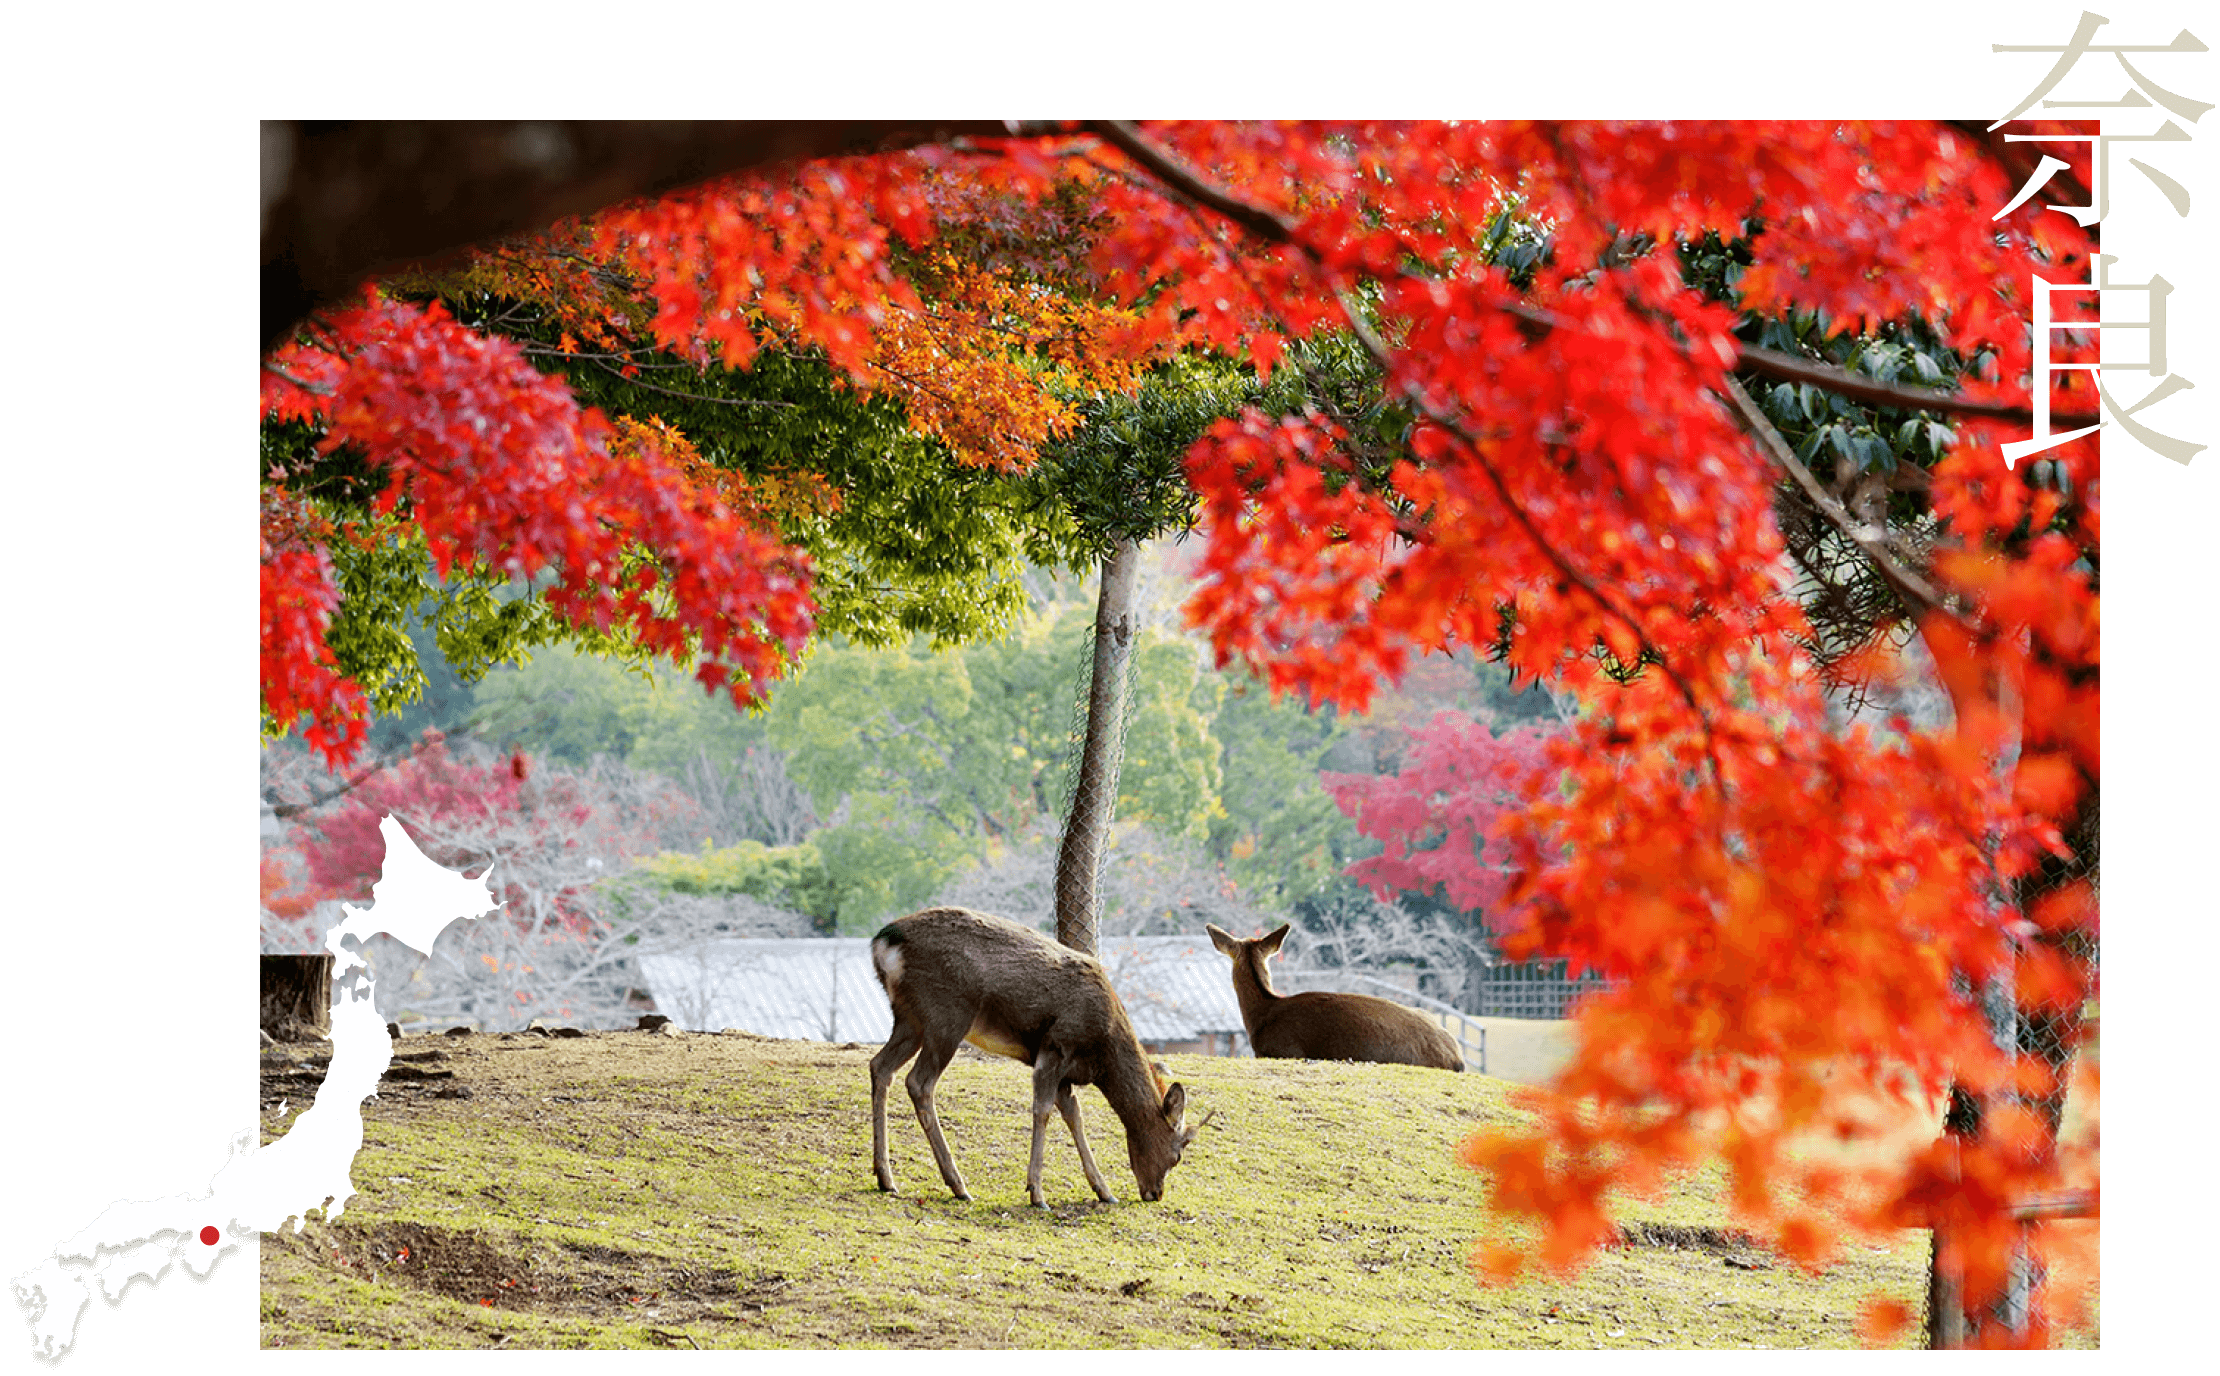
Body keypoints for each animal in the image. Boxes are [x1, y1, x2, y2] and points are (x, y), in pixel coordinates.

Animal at [861, 909, 1198, 1207]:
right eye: (1177, 1155)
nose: (1155, 1193)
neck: (1103, 1052)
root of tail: (883, 942)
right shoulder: (1056, 1048)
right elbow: (1043, 1110)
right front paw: (1037, 1194)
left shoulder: (1066, 1072)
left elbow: (1074, 1115)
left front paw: (1104, 1191)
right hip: (946, 1017)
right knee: (919, 1082)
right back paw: (958, 1185)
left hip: (909, 1018)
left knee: (880, 1065)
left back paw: (886, 1177)